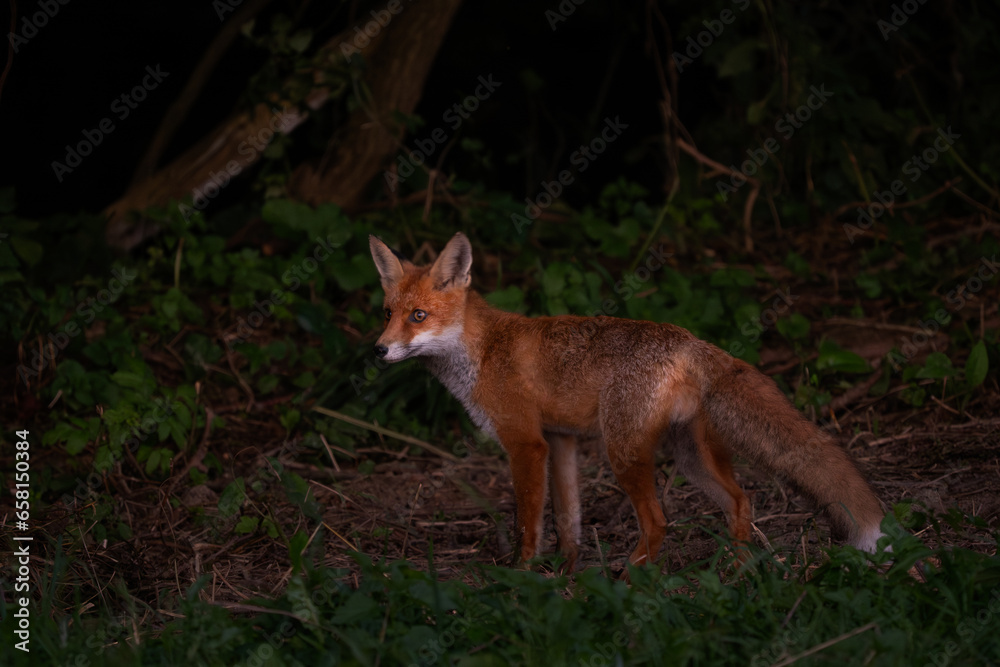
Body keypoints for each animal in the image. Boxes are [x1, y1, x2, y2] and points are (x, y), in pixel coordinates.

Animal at [368, 232, 888, 571]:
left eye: (419, 316)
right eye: (387, 313)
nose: (378, 350)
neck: (482, 350)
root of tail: (689, 340)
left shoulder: (526, 444)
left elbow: (528, 525)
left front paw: (521, 576)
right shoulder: (561, 441)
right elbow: (569, 521)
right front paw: (567, 575)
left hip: (625, 452)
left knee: (658, 522)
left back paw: (631, 577)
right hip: (691, 456)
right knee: (741, 502)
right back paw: (738, 570)